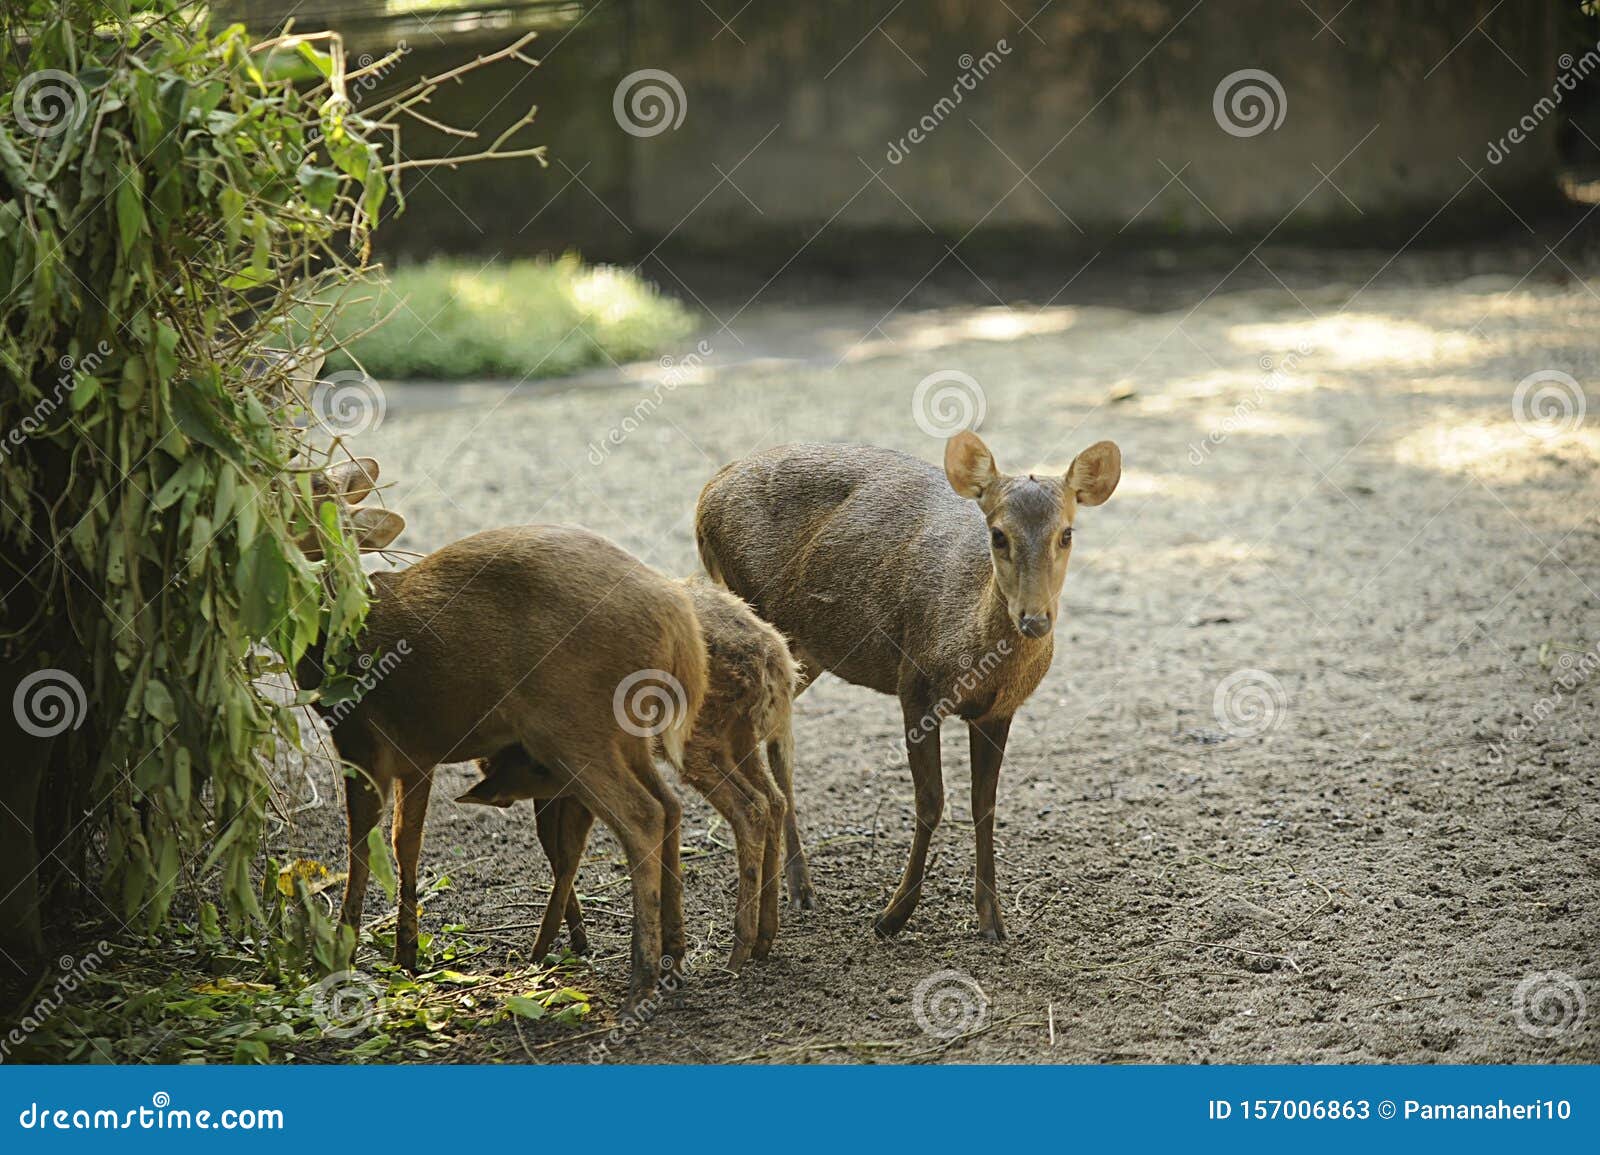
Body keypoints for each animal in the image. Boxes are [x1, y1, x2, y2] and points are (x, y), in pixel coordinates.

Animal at [300, 459, 707, 999]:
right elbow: (407, 841)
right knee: (671, 806)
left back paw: (640, 976)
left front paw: (341, 954)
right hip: (627, 733)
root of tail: (678, 619)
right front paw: (406, 954)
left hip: (574, 724)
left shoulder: (359, 737)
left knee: (642, 817)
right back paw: (673, 958)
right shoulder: (418, 753)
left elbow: (361, 844)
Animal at [459, 575, 799, 973]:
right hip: (739, 737)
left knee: (751, 807)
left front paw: (545, 950)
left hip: (700, 740)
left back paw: (737, 951)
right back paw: (764, 938)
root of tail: (776, 659)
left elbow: (566, 845)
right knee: (774, 800)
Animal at [693, 430, 1120, 941]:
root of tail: (706, 493)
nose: (1034, 619)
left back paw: (799, 886)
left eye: (1067, 533)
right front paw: (893, 916)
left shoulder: (999, 710)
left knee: (779, 739)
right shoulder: (914, 684)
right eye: (998, 534)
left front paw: (992, 920)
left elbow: (984, 804)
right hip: (757, 611)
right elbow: (930, 800)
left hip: (805, 654)